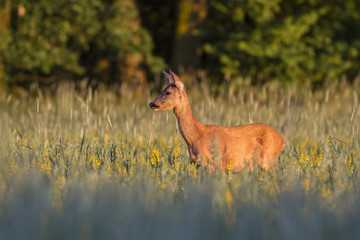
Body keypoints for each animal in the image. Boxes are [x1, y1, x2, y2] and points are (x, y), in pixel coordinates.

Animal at [148, 70, 284, 172]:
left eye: (167, 92)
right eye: (162, 90)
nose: (151, 103)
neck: (195, 137)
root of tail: (282, 140)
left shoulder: (212, 163)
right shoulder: (196, 164)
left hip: (269, 160)